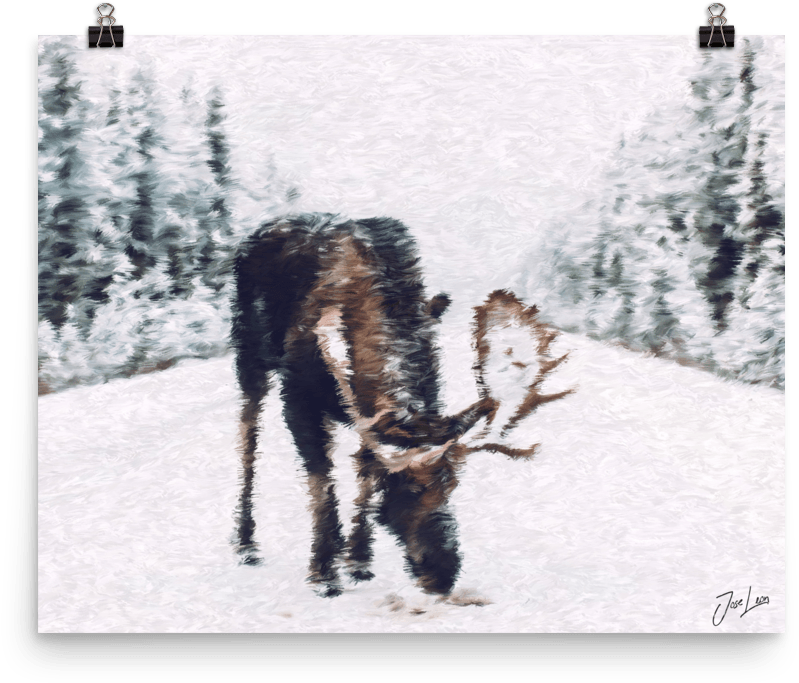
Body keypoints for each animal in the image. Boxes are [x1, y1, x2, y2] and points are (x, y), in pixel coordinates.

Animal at [230, 213, 574, 599]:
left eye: (452, 485)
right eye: (410, 490)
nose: (444, 574)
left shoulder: (370, 421)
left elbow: (364, 472)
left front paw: (359, 559)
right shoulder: (299, 400)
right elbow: (321, 483)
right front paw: (324, 572)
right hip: (250, 356)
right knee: (248, 437)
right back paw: (246, 543)